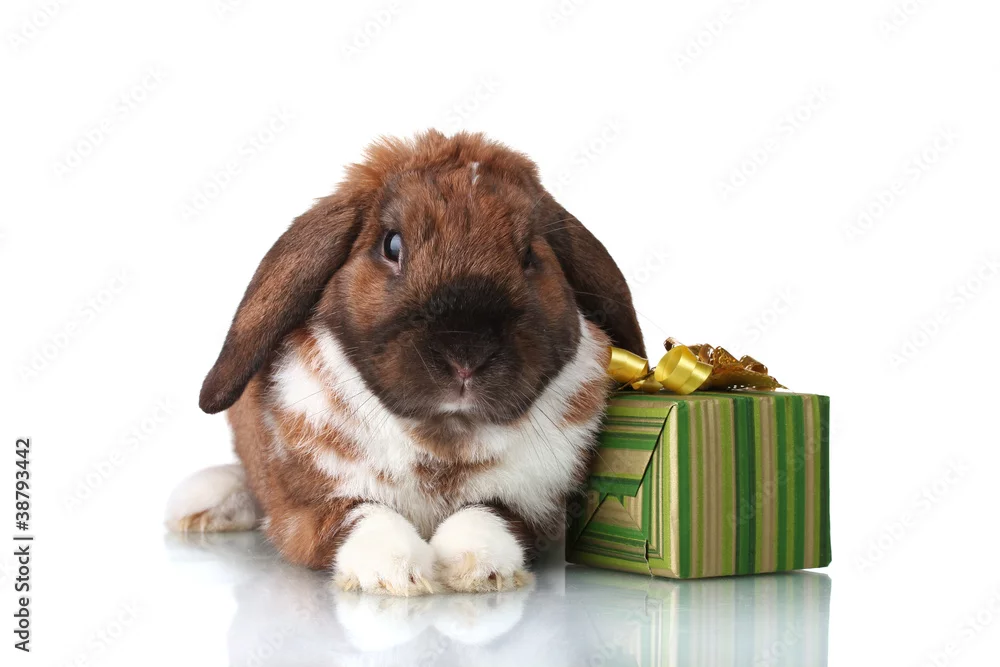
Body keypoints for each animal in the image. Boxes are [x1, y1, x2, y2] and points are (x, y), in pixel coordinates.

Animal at [165, 130, 645, 595]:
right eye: (391, 245)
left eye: (529, 255)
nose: (465, 354)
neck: (444, 438)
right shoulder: (306, 512)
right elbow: (360, 515)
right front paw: (396, 574)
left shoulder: (533, 507)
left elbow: (491, 514)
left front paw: (475, 567)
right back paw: (202, 505)